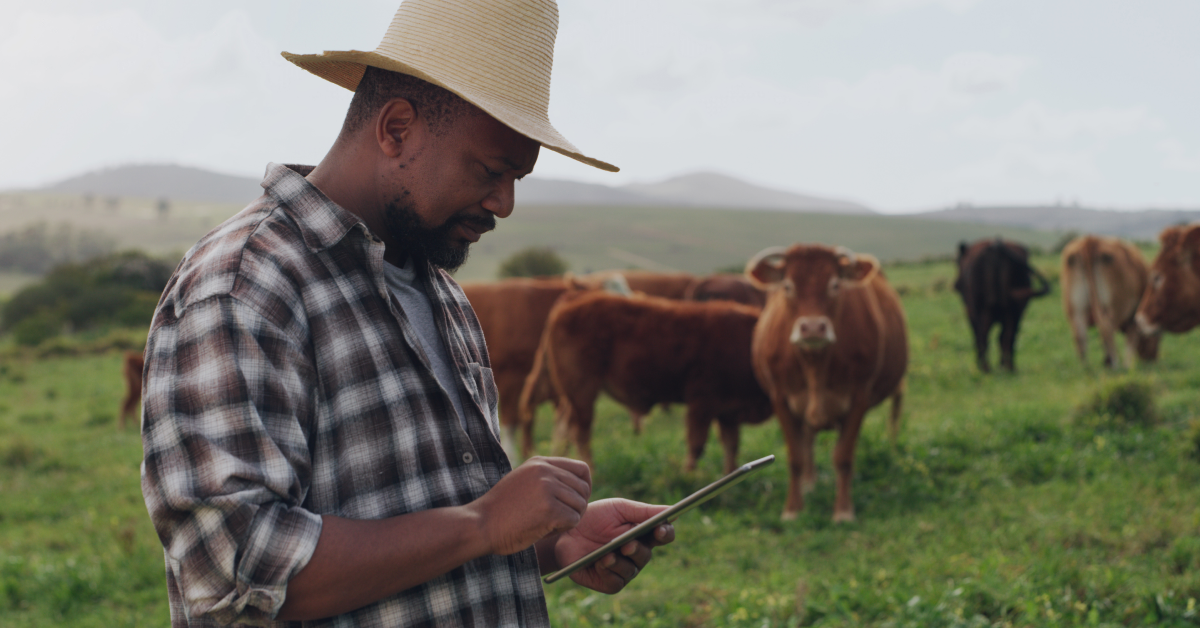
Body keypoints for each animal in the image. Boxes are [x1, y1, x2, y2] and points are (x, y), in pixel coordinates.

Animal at [520, 292, 772, 475]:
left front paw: (729, 475)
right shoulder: (702, 402)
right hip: (582, 390)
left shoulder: (728, 411)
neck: (751, 342)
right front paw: (689, 476)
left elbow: (731, 446)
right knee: (579, 430)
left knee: (563, 427)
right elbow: (697, 444)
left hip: (571, 395)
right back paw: (592, 469)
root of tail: (574, 298)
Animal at [744, 243, 902, 523]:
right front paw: (793, 508)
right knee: (807, 440)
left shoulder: (859, 398)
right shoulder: (780, 399)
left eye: (835, 284)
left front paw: (843, 510)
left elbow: (843, 456)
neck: (815, 364)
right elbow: (795, 456)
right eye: (788, 286)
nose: (813, 327)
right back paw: (809, 482)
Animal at [955, 238, 1051, 372]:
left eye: (957, 262)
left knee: (984, 336)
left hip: (983, 311)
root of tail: (996, 247)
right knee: (1008, 337)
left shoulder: (970, 312)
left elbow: (978, 336)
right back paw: (1009, 367)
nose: (956, 285)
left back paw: (986, 368)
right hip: (1015, 312)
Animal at [1060, 234, 1161, 369]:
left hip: (1076, 309)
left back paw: (1085, 366)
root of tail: (1090, 240)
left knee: (1080, 334)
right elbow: (1131, 340)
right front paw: (1128, 364)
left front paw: (1106, 361)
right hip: (1114, 307)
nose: (1152, 358)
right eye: (1157, 337)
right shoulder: (1133, 315)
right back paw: (1115, 363)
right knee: (1106, 328)